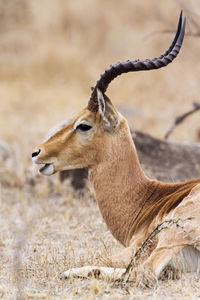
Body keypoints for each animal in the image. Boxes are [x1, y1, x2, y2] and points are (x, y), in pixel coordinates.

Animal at [31, 13, 200, 286]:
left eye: (84, 125)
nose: (37, 153)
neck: (148, 198)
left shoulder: (134, 248)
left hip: (170, 233)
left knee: (143, 272)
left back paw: (67, 273)